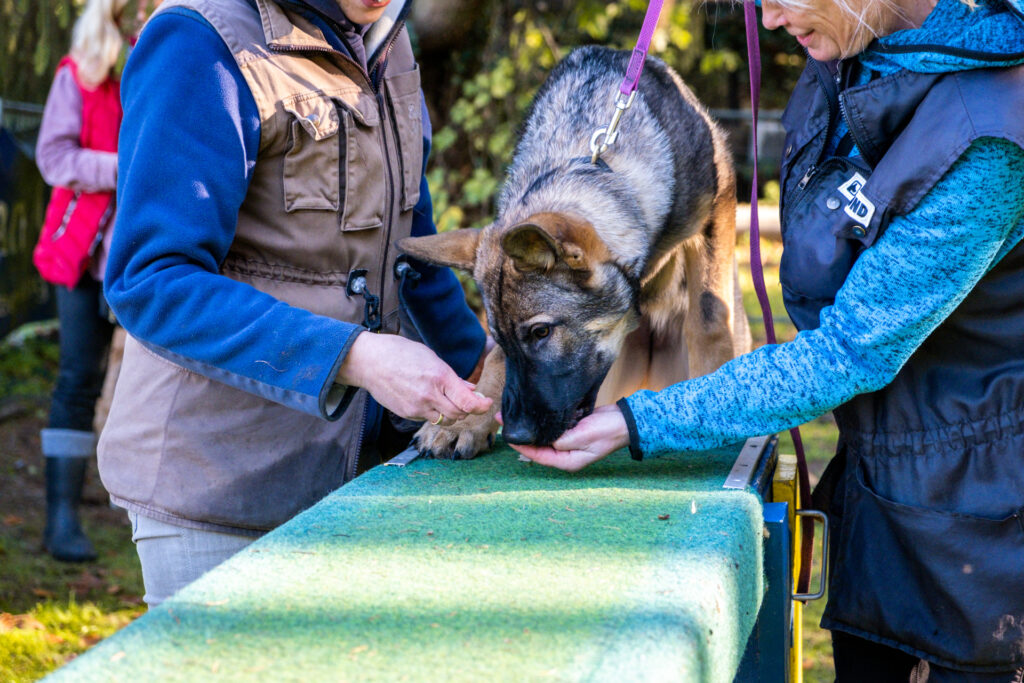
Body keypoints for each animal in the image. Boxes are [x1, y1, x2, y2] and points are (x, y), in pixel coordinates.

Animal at [399, 45, 753, 456]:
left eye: (542, 332)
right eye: (500, 336)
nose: (517, 434)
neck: (590, 159)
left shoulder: (717, 210)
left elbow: (709, 319)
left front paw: (713, 389)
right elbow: (495, 362)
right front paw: (467, 420)